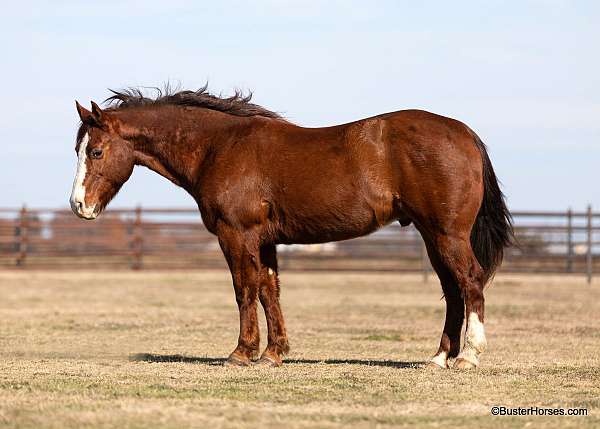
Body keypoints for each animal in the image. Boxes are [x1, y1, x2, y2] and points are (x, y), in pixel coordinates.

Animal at [69, 87, 510, 368]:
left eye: (96, 151)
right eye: (79, 149)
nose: (78, 205)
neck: (219, 147)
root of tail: (465, 133)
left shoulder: (237, 234)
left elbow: (244, 289)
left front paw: (241, 353)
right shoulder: (265, 242)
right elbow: (269, 291)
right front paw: (273, 353)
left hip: (447, 234)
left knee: (470, 281)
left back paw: (468, 355)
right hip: (432, 235)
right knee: (452, 289)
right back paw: (438, 357)